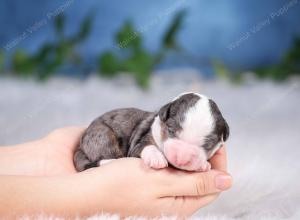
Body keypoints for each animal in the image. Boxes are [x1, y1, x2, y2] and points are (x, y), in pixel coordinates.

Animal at [74, 92, 229, 172]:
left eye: (207, 145)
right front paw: (157, 158)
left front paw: (203, 164)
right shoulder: (138, 144)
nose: (182, 159)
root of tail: (80, 147)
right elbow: (146, 146)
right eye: (171, 130)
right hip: (103, 136)